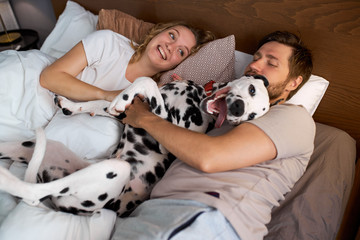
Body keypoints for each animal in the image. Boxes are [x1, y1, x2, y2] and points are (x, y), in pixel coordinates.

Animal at [0, 75, 270, 218]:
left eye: (253, 116)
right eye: (251, 89)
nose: (239, 111)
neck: (198, 97)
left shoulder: (163, 135)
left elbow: (147, 82)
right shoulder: (127, 113)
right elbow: (103, 102)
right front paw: (71, 104)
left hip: (116, 170)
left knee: (32, 191)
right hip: (35, 147)